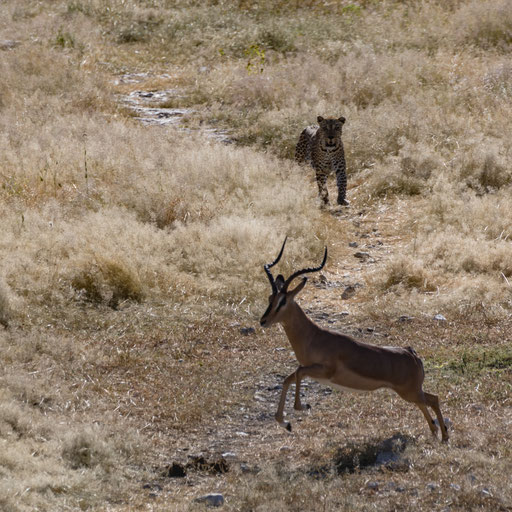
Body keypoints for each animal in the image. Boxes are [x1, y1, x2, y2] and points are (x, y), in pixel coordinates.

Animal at [260, 238, 448, 442]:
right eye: (270, 298)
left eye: (283, 301)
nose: (263, 321)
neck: (312, 337)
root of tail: (412, 354)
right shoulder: (311, 369)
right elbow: (289, 378)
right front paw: (285, 423)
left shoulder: (325, 371)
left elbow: (298, 372)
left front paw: (302, 407)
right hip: (411, 392)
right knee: (428, 401)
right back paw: (436, 432)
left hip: (409, 392)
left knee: (434, 399)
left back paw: (444, 436)